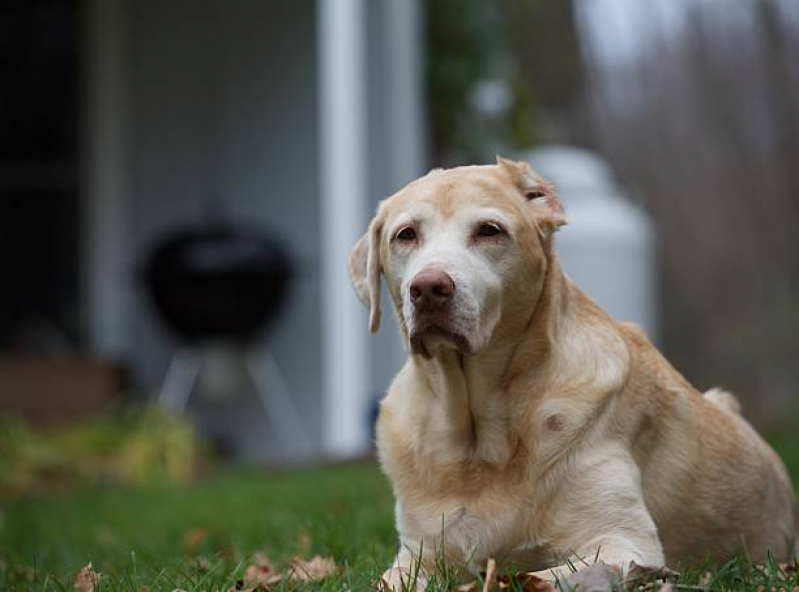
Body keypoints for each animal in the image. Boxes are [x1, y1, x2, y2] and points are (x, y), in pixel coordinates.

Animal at [346, 156, 796, 588]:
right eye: (406, 235)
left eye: (489, 231)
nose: (428, 288)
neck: (477, 440)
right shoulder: (417, 556)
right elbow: (386, 581)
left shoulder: (624, 544)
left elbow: (529, 577)